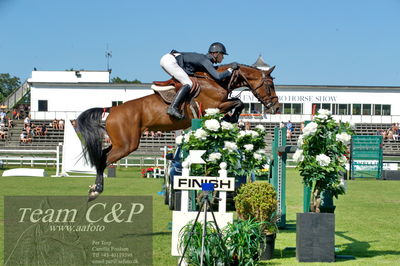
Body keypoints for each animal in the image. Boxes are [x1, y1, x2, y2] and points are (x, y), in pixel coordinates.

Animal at [76, 63, 280, 200]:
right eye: (269, 85)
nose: (276, 107)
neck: (217, 80)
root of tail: (111, 110)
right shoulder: (214, 106)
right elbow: (238, 102)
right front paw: (231, 118)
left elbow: (239, 103)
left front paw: (230, 119)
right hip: (127, 144)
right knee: (103, 159)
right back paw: (95, 190)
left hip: (121, 143)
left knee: (102, 155)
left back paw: (94, 188)